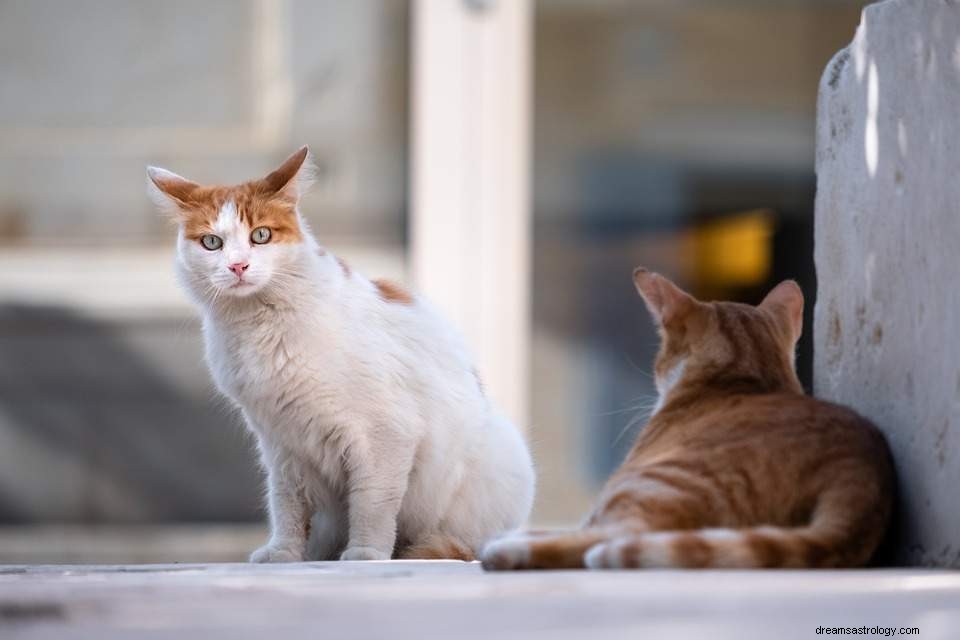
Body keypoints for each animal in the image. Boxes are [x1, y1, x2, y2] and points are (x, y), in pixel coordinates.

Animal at [147, 148, 536, 564]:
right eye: (212, 243)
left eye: (261, 235)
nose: (238, 266)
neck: (259, 324)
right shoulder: (281, 445)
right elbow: (285, 505)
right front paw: (284, 552)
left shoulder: (384, 435)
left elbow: (371, 504)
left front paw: (366, 553)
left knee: (459, 544)